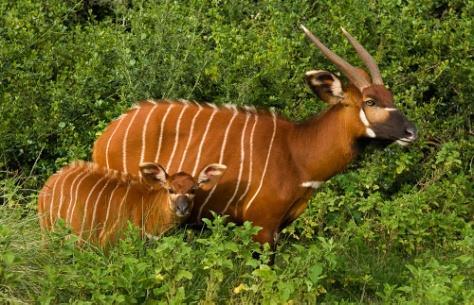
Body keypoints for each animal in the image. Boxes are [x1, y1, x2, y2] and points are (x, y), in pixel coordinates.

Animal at [91, 25, 414, 249]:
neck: (297, 154)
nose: (411, 132)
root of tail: (103, 138)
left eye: (390, 96)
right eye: (370, 102)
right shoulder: (262, 228)